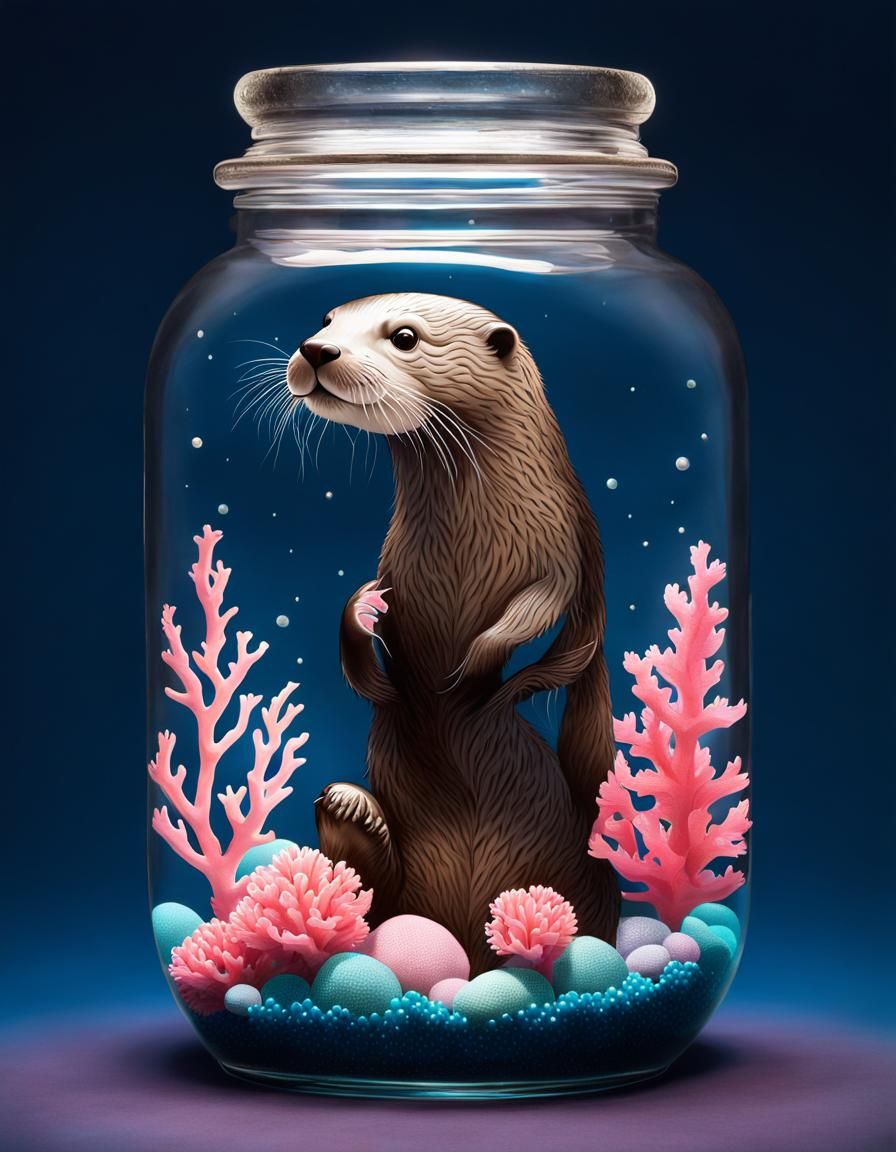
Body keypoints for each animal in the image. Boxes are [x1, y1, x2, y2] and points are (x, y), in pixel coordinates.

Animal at [287, 293, 619, 974]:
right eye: (327, 321)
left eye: (405, 337)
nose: (316, 349)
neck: (469, 544)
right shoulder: (395, 563)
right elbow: (363, 648)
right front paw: (366, 608)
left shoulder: (558, 543)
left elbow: (539, 608)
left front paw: (474, 664)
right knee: (374, 893)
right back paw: (350, 810)